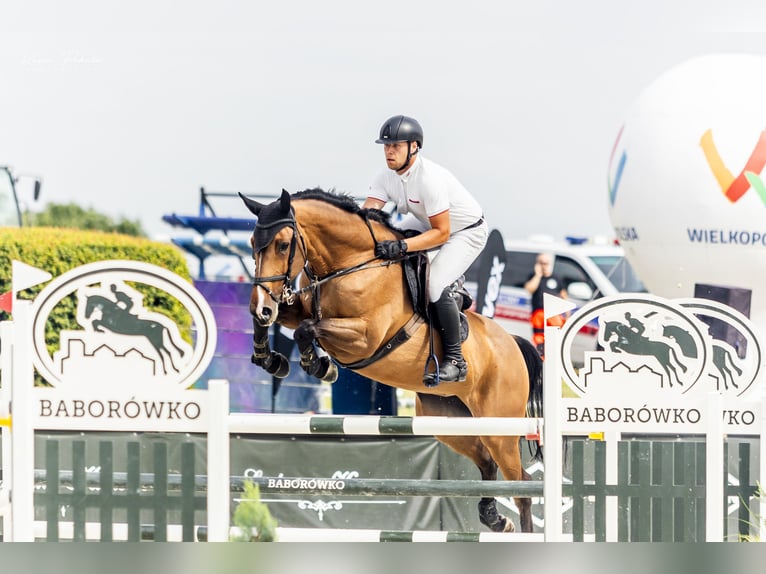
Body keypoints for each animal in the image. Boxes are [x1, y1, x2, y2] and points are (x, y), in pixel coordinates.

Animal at [239, 188, 543, 533]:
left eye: (282, 244)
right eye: (252, 243)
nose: (261, 305)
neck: (352, 264)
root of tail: (513, 344)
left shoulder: (364, 337)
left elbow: (307, 329)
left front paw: (320, 366)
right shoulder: (301, 309)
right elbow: (282, 323)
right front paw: (271, 359)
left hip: (499, 428)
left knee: (521, 487)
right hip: (448, 421)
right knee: (487, 461)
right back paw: (494, 519)